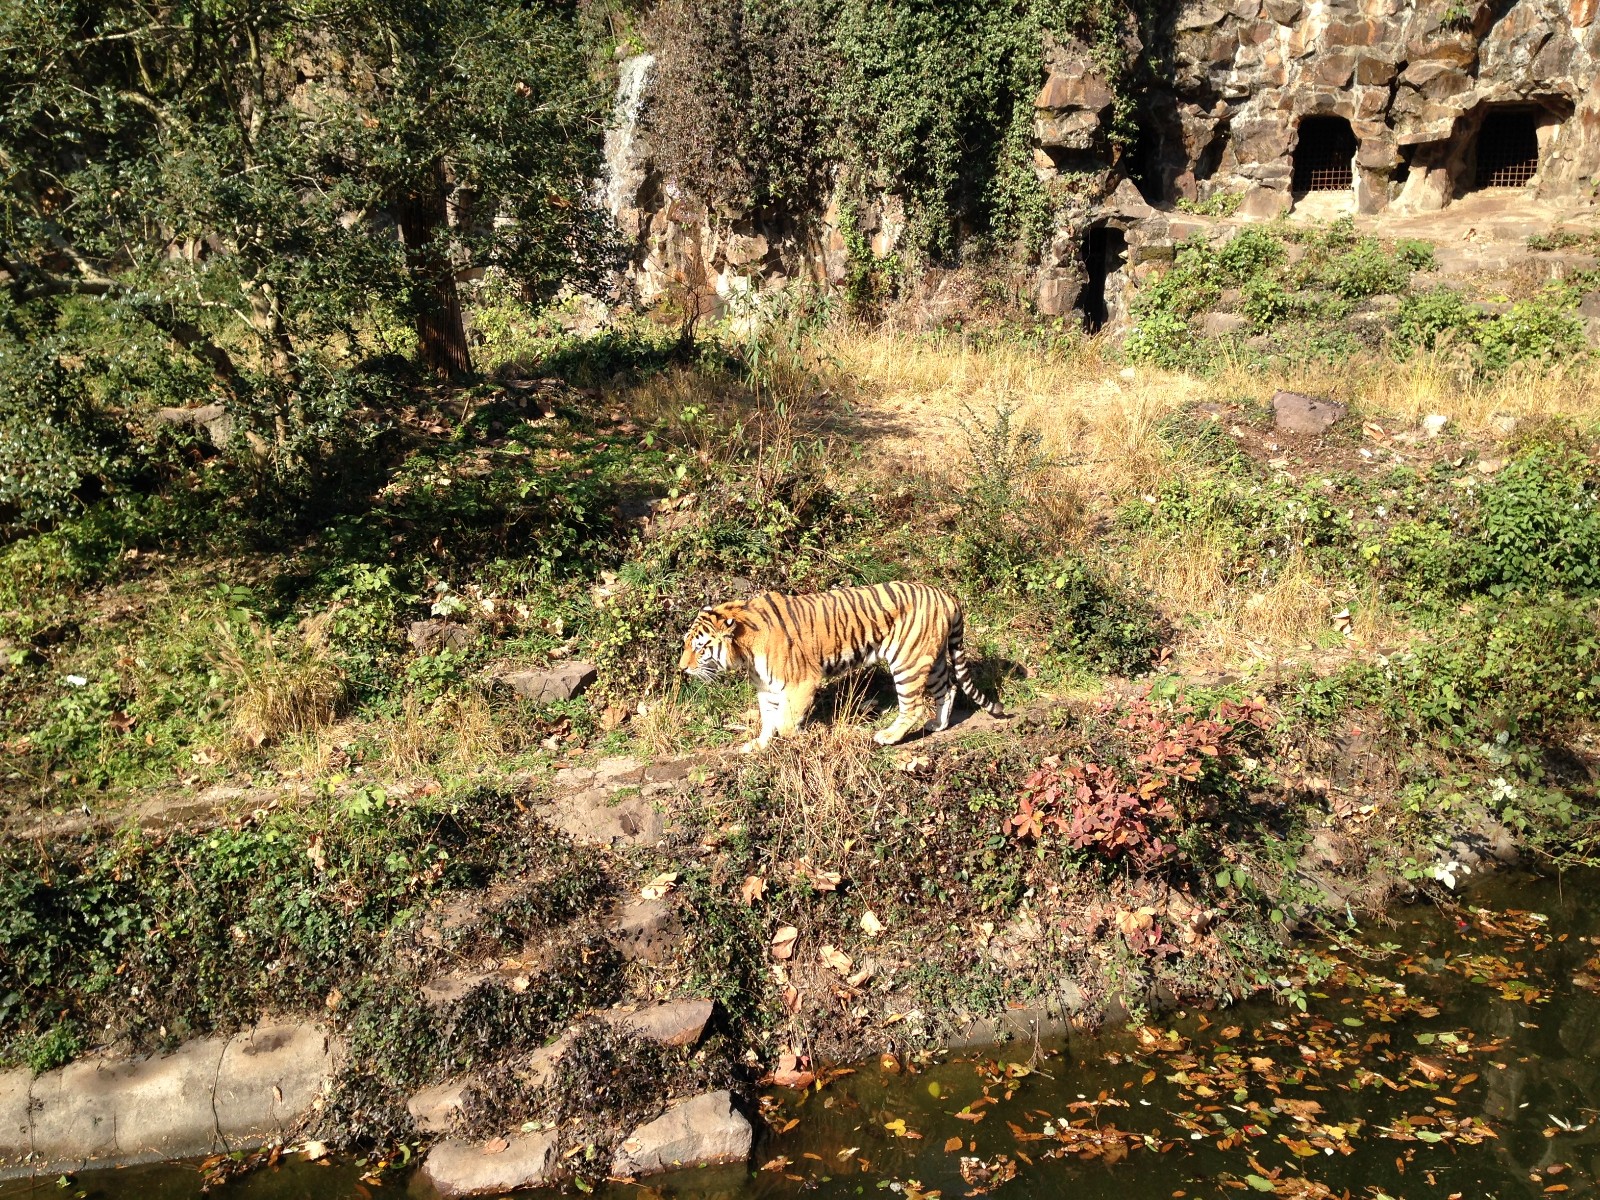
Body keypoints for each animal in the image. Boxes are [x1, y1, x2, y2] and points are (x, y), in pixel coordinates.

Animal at [678, 581, 1005, 752]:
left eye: (699, 648)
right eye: (685, 644)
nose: (682, 669)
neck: (745, 651)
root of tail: (946, 594)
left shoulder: (801, 683)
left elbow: (785, 722)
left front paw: (804, 737)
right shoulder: (767, 689)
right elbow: (768, 720)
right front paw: (758, 745)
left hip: (908, 660)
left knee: (913, 705)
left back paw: (888, 736)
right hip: (931, 658)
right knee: (947, 689)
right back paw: (938, 724)